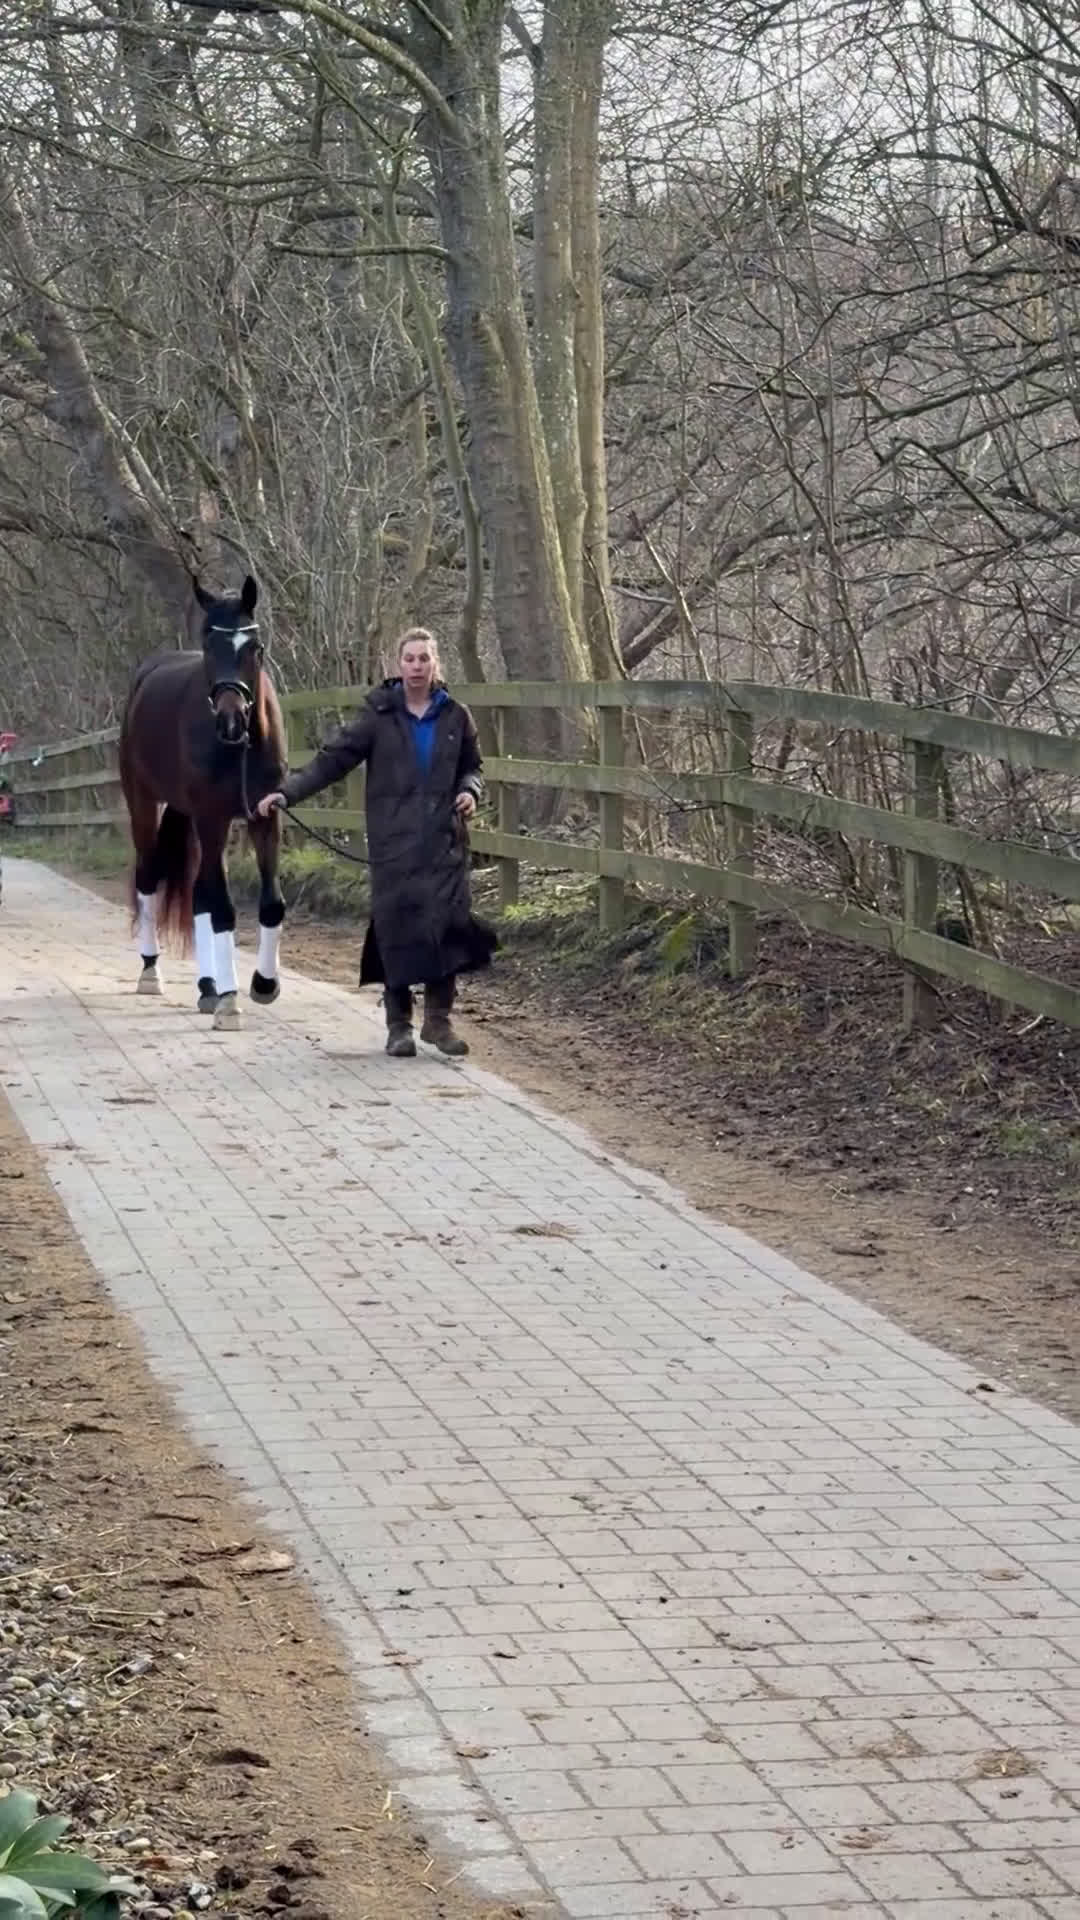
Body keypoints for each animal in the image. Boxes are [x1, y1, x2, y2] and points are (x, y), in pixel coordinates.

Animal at [118, 572, 288, 1031]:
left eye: (254, 648)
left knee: (198, 895)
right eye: (210, 647)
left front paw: (263, 984)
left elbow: (270, 905)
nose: (231, 721)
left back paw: (208, 986)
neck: (242, 749)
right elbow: (224, 910)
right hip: (145, 804)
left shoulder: (265, 815)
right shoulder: (213, 818)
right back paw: (152, 972)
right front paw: (231, 1002)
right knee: (149, 878)